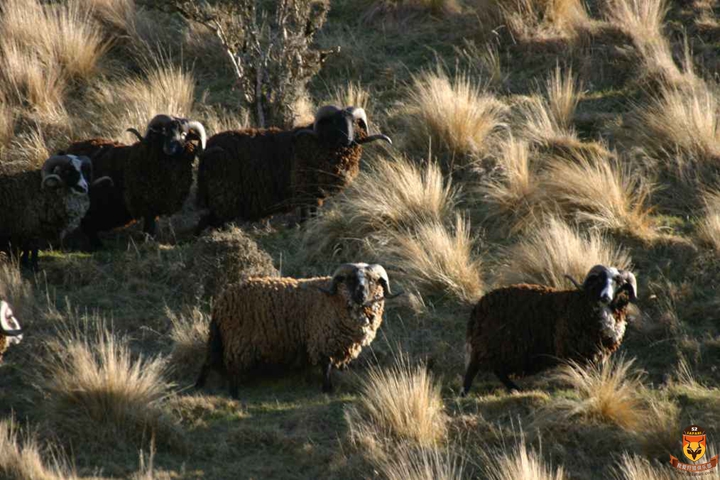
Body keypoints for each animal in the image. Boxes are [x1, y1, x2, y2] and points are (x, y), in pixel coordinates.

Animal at [194, 262, 402, 398]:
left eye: (372, 280)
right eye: (349, 279)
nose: (360, 294)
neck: (335, 300)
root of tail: (220, 301)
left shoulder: (341, 343)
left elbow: (338, 365)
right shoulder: (322, 339)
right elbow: (326, 366)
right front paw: (327, 389)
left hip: (221, 337)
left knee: (209, 361)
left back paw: (200, 387)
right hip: (238, 340)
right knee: (229, 368)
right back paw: (232, 393)